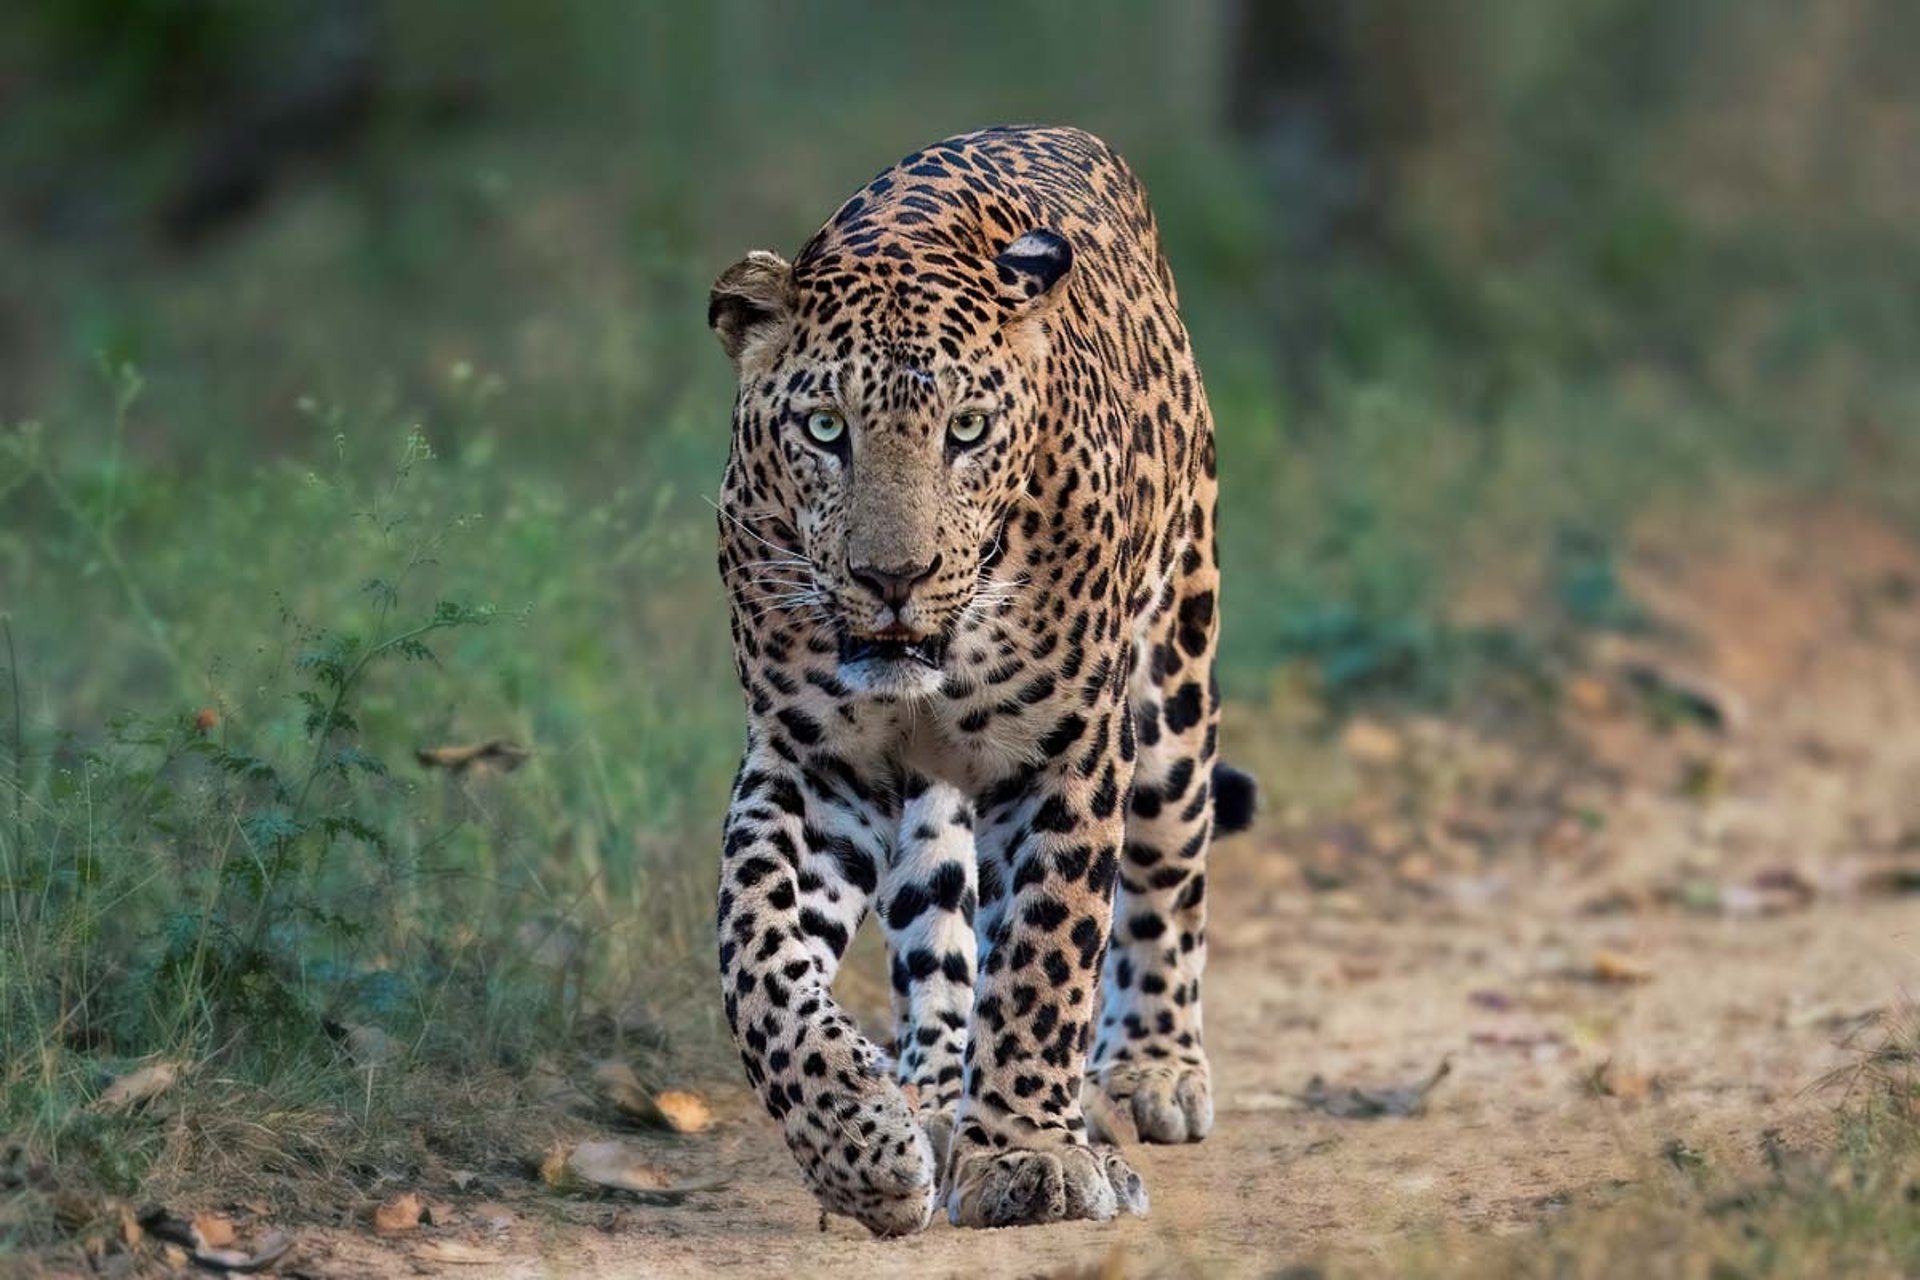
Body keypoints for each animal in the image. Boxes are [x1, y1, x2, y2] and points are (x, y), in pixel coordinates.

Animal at [706, 125, 1255, 1237]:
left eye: (966, 431)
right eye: (824, 429)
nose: (893, 578)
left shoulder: (1064, 753)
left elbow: (1046, 953)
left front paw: (1026, 1151)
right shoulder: (813, 762)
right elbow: (757, 954)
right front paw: (862, 1148)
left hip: (1176, 681)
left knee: (1168, 867)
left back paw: (1151, 1070)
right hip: (926, 803)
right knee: (942, 934)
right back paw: (927, 1093)